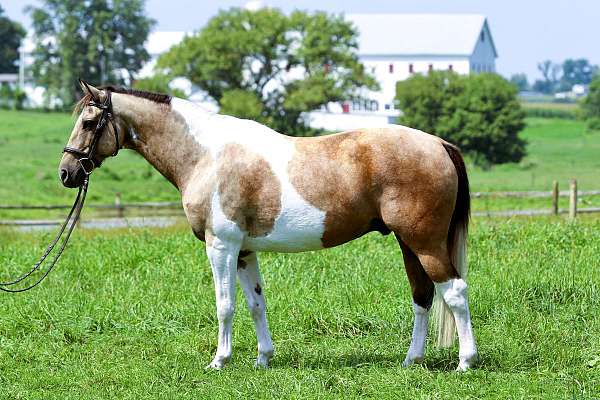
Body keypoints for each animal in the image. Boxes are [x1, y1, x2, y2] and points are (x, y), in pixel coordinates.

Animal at [59, 80, 478, 372]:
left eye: (90, 122)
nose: (67, 173)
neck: (206, 155)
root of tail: (439, 145)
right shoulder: (244, 250)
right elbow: (255, 303)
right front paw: (263, 358)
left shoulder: (221, 245)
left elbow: (225, 305)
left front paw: (220, 361)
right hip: (409, 243)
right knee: (423, 295)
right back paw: (412, 361)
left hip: (424, 242)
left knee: (455, 291)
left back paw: (465, 362)